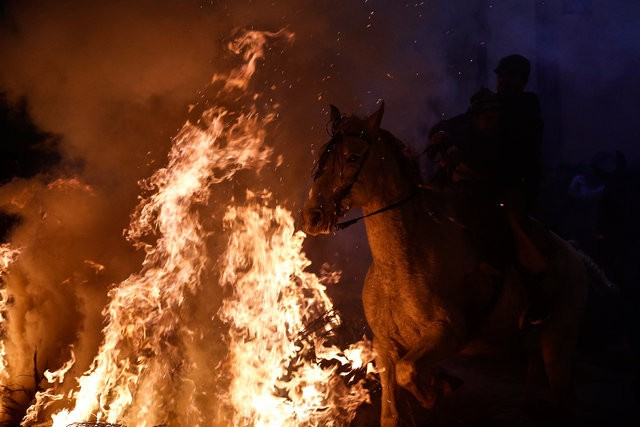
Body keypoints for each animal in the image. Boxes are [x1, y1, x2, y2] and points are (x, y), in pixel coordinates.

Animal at [302, 104, 608, 427]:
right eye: (323, 158)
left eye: (352, 156)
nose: (312, 216)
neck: (400, 266)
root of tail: (574, 255)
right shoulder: (385, 346)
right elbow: (391, 408)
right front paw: (440, 383)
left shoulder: (447, 334)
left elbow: (407, 372)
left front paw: (436, 389)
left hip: (557, 344)